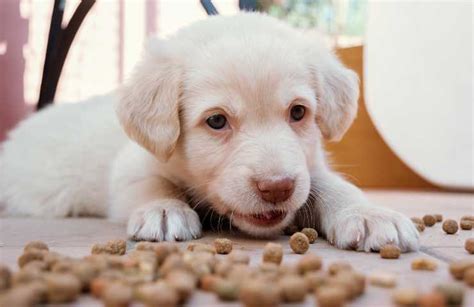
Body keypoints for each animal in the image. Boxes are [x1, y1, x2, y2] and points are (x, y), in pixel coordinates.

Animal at [0, 12, 418, 253]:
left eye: (298, 112)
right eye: (217, 121)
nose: (277, 188)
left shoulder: (309, 166)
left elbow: (333, 186)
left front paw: (369, 213)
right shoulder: (131, 167)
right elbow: (150, 184)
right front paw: (164, 209)